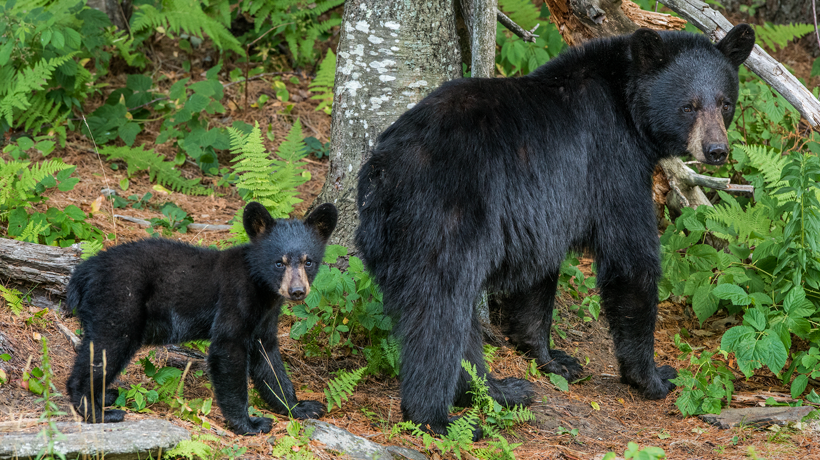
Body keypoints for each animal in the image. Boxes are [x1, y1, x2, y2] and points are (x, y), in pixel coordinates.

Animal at [65, 202, 338, 434]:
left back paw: (105, 396)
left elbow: (269, 361)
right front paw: (250, 423)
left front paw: (301, 407)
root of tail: (83, 272)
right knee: (105, 349)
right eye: (279, 263)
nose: (297, 291)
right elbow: (227, 351)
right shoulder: (234, 300)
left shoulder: (266, 318)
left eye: (308, 261)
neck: (262, 289)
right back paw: (98, 411)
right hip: (120, 301)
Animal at [356, 25, 752, 434]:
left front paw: (552, 357)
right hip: (448, 214)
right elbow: (631, 261)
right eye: (688, 106)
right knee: (440, 311)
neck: (625, 104)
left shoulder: (542, 209)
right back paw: (435, 417)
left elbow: (537, 275)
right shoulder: (612, 163)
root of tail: (386, 169)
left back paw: (499, 389)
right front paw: (653, 376)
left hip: (388, 235)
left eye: (725, 103)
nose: (716, 150)